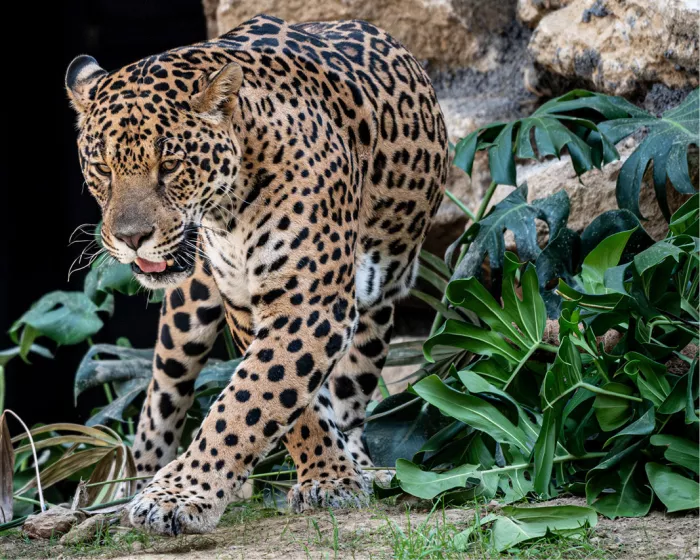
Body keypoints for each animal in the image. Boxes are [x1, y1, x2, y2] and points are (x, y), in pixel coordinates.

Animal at [65, 14, 448, 535]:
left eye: (170, 165)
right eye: (103, 168)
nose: (131, 238)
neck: (228, 211)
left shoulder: (309, 305)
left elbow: (246, 404)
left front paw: (181, 494)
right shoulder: (245, 306)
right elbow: (286, 404)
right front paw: (324, 473)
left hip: (376, 310)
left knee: (351, 393)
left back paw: (363, 465)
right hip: (187, 312)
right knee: (162, 394)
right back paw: (136, 480)